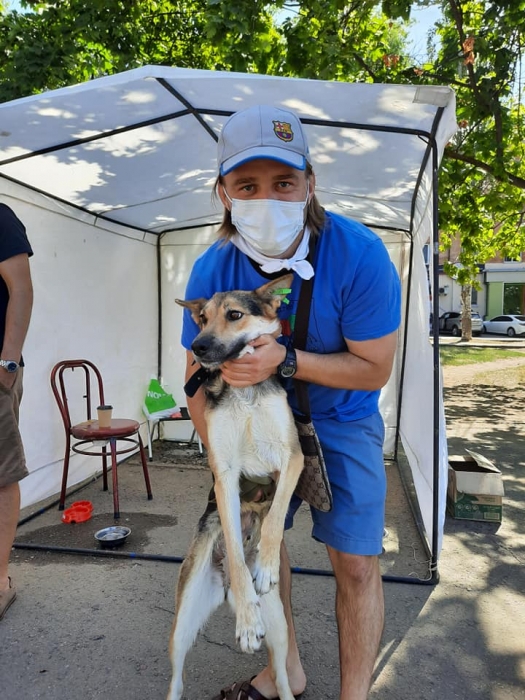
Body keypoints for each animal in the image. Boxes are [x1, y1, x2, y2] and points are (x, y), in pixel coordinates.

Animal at [166, 276, 304, 700]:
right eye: (202, 318)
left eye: (234, 314)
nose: (198, 346)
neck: (245, 392)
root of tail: (221, 588)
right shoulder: (224, 473)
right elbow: (238, 553)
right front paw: (245, 618)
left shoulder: (292, 459)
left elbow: (273, 520)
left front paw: (266, 564)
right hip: (181, 626)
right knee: (176, 681)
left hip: (279, 628)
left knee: (283, 676)